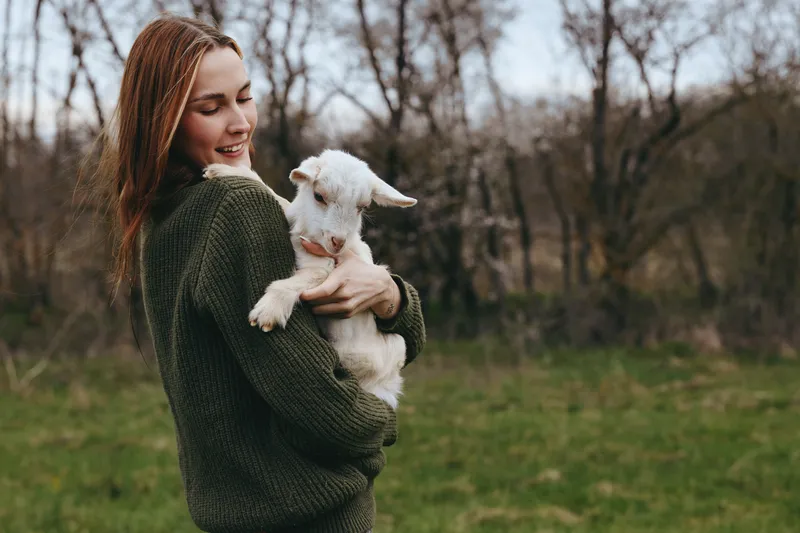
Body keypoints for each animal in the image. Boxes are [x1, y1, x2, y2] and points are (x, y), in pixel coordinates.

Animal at [202, 150, 417, 408]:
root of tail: (386, 387)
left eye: (361, 207)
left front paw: (268, 312)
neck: (307, 236)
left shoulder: (327, 268)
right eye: (319, 196)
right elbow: (278, 198)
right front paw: (223, 171)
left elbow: (301, 280)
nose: (338, 242)